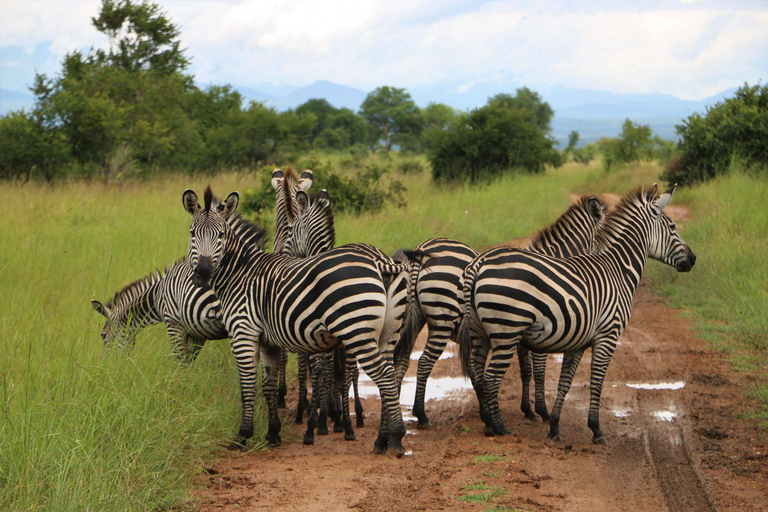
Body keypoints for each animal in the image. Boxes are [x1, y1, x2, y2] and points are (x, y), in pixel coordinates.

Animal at [91, 212, 268, 360]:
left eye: (103, 335)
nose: (105, 365)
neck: (157, 294)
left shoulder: (174, 323)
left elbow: (181, 360)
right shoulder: (196, 330)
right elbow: (189, 360)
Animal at [182, 185, 416, 456]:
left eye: (220, 235)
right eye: (192, 234)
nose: (203, 273)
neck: (240, 274)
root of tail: (379, 260)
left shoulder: (243, 332)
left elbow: (248, 385)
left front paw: (243, 435)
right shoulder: (268, 341)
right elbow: (269, 385)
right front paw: (273, 433)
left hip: (357, 333)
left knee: (384, 376)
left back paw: (396, 436)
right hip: (387, 333)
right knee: (389, 373)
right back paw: (382, 439)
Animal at [392, 196, 608, 428]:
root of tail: (422, 248)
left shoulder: (521, 334)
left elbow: (525, 371)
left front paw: (527, 409)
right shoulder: (540, 330)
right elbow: (538, 371)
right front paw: (542, 411)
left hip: (413, 319)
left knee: (402, 359)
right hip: (443, 319)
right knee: (423, 362)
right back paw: (421, 415)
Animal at [460, 185, 692, 444]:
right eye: (672, 227)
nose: (692, 260)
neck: (618, 269)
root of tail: (479, 263)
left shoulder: (578, 341)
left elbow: (565, 382)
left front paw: (554, 426)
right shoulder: (607, 336)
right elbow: (595, 382)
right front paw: (596, 429)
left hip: (480, 332)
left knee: (478, 373)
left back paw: (488, 422)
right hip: (506, 332)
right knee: (490, 378)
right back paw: (499, 427)